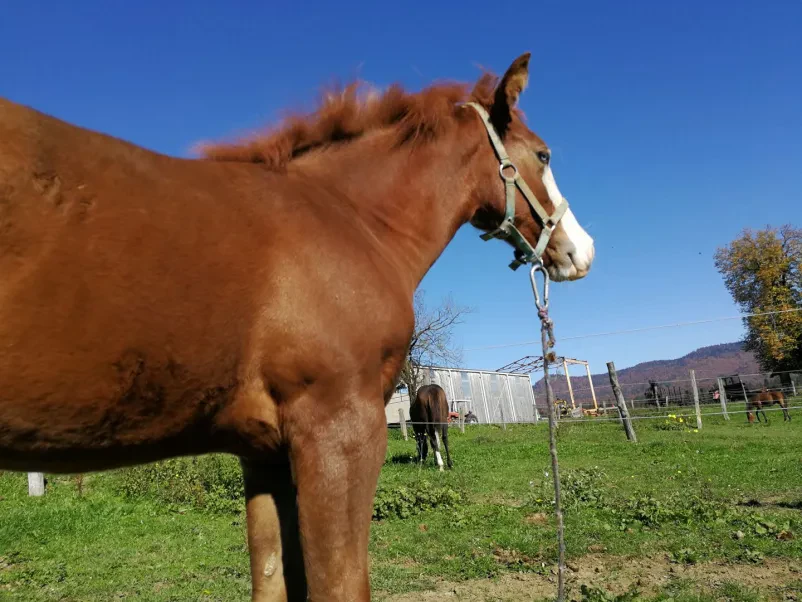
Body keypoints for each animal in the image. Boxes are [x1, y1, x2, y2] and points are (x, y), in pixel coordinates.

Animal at [0, 53, 594, 601]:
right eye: (543, 154)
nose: (581, 250)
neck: (348, 219)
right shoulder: (339, 432)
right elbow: (340, 584)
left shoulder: (264, 452)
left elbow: (273, 579)